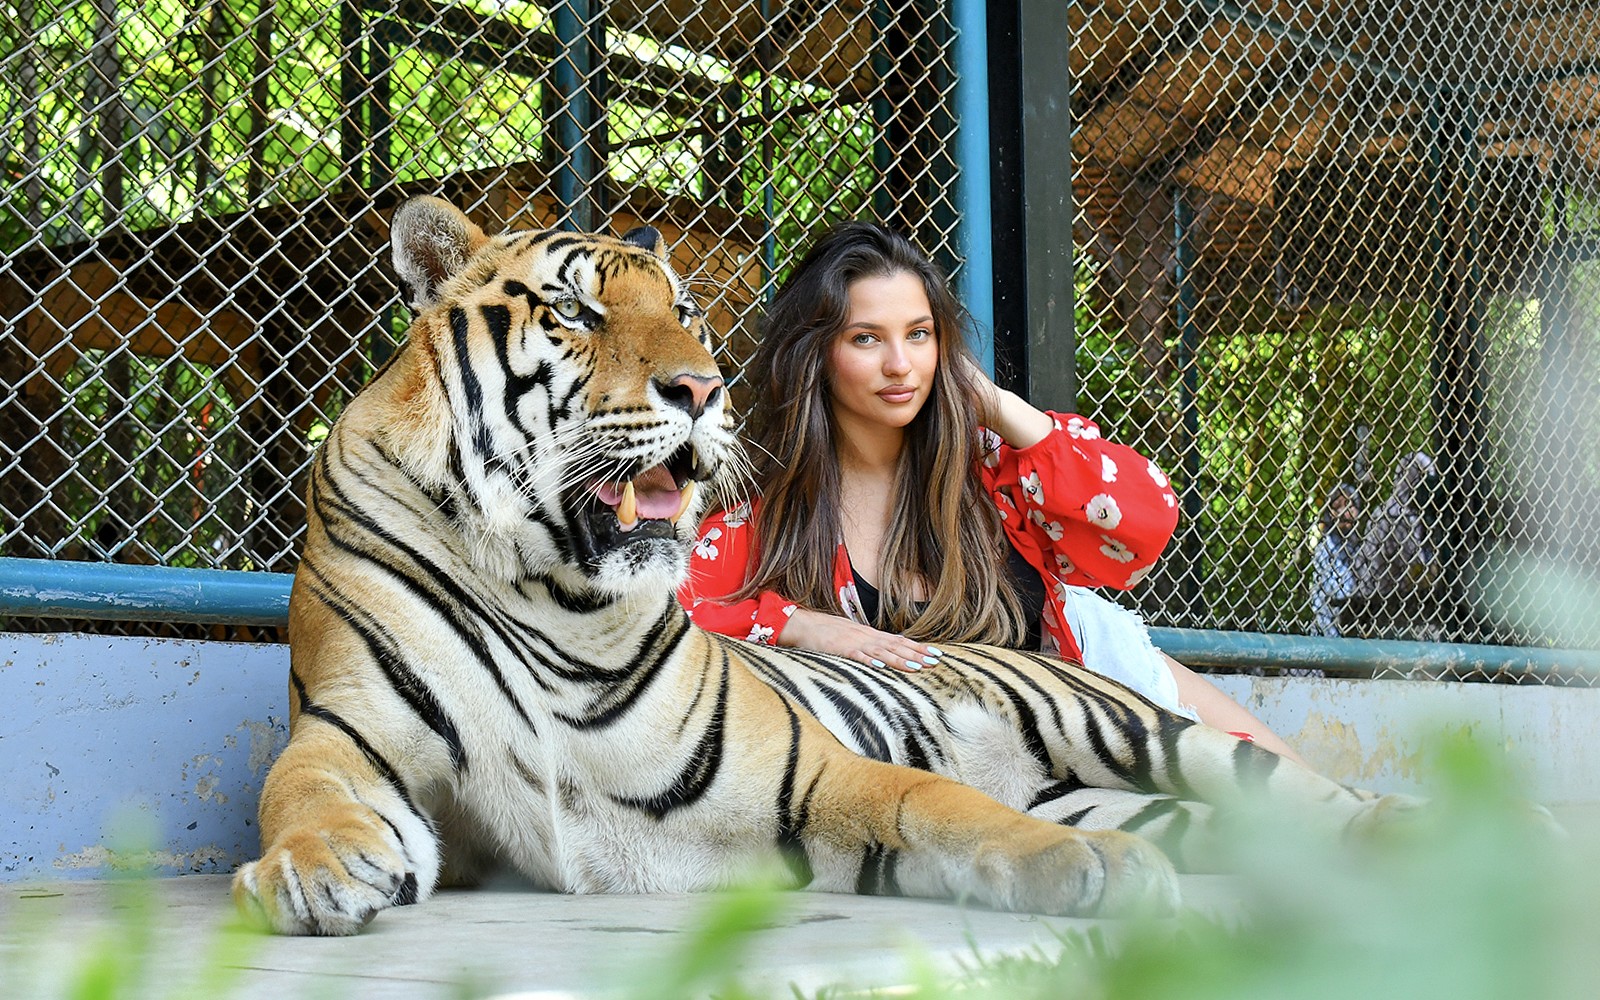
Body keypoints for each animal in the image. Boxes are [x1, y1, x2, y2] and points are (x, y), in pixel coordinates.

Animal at [232, 195, 1417, 936]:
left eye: (685, 309)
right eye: (573, 309)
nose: (702, 390)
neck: (549, 585)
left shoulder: (813, 772)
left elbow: (949, 805)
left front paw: (1092, 877)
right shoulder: (349, 731)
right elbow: (301, 792)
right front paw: (317, 868)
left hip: (1146, 733)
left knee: (1310, 791)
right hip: (1122, 792)